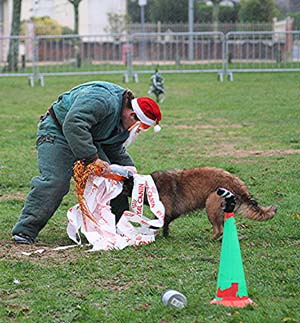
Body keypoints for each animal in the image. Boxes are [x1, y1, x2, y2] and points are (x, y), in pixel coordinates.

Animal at [120, 168, 278, 239]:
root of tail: (239, 185)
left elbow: (159, 223)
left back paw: (211, 238)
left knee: (218, 229)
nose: (118, 189)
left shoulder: (166, 211)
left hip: (211, 203)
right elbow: (166, 224)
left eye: (124, 186)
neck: (150, 185)